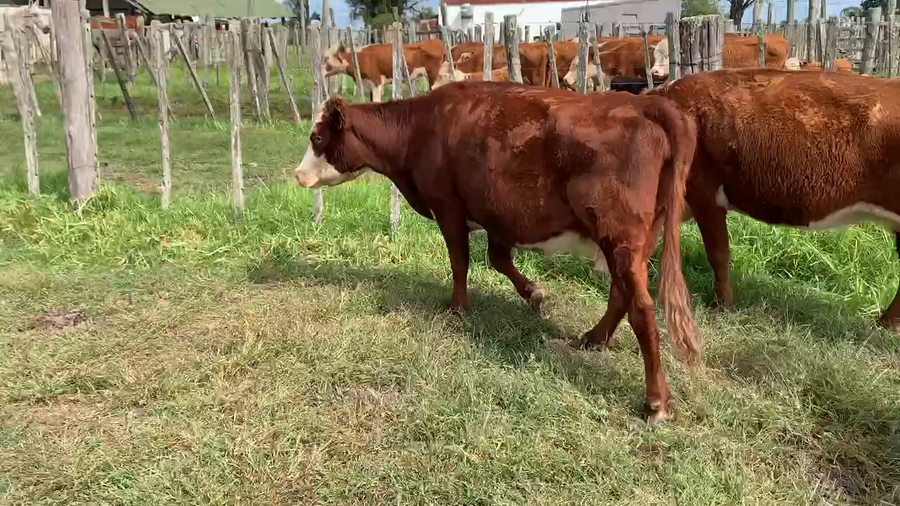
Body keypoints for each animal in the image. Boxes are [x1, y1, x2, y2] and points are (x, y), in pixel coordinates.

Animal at [293, 82, 700, 423]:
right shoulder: (499, 215)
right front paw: (535, 293)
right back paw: (594, 338)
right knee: (621, 294)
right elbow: (498, 260)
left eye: (317, 136)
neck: (420, 128)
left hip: (619, 235)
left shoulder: (448, 206)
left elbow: (460, 261)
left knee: (642, 308)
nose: (297, 175)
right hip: (636, 240)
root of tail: (644, 104)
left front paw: (457, 309)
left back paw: (656, 402)